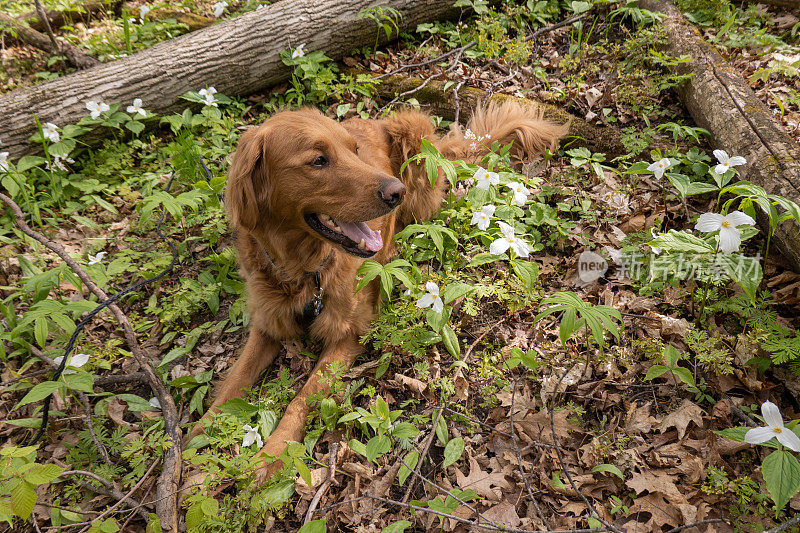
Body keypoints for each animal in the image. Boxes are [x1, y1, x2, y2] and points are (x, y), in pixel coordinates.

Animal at [195, 101, 568, 482]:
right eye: (318, 160)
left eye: (354, 151)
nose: (396, 192)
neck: (303, 271)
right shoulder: (267, 324)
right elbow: (234, 381)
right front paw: (199, 436)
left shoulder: (349, 333)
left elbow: (303, 396)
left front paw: (273, 454)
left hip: (414, 136)